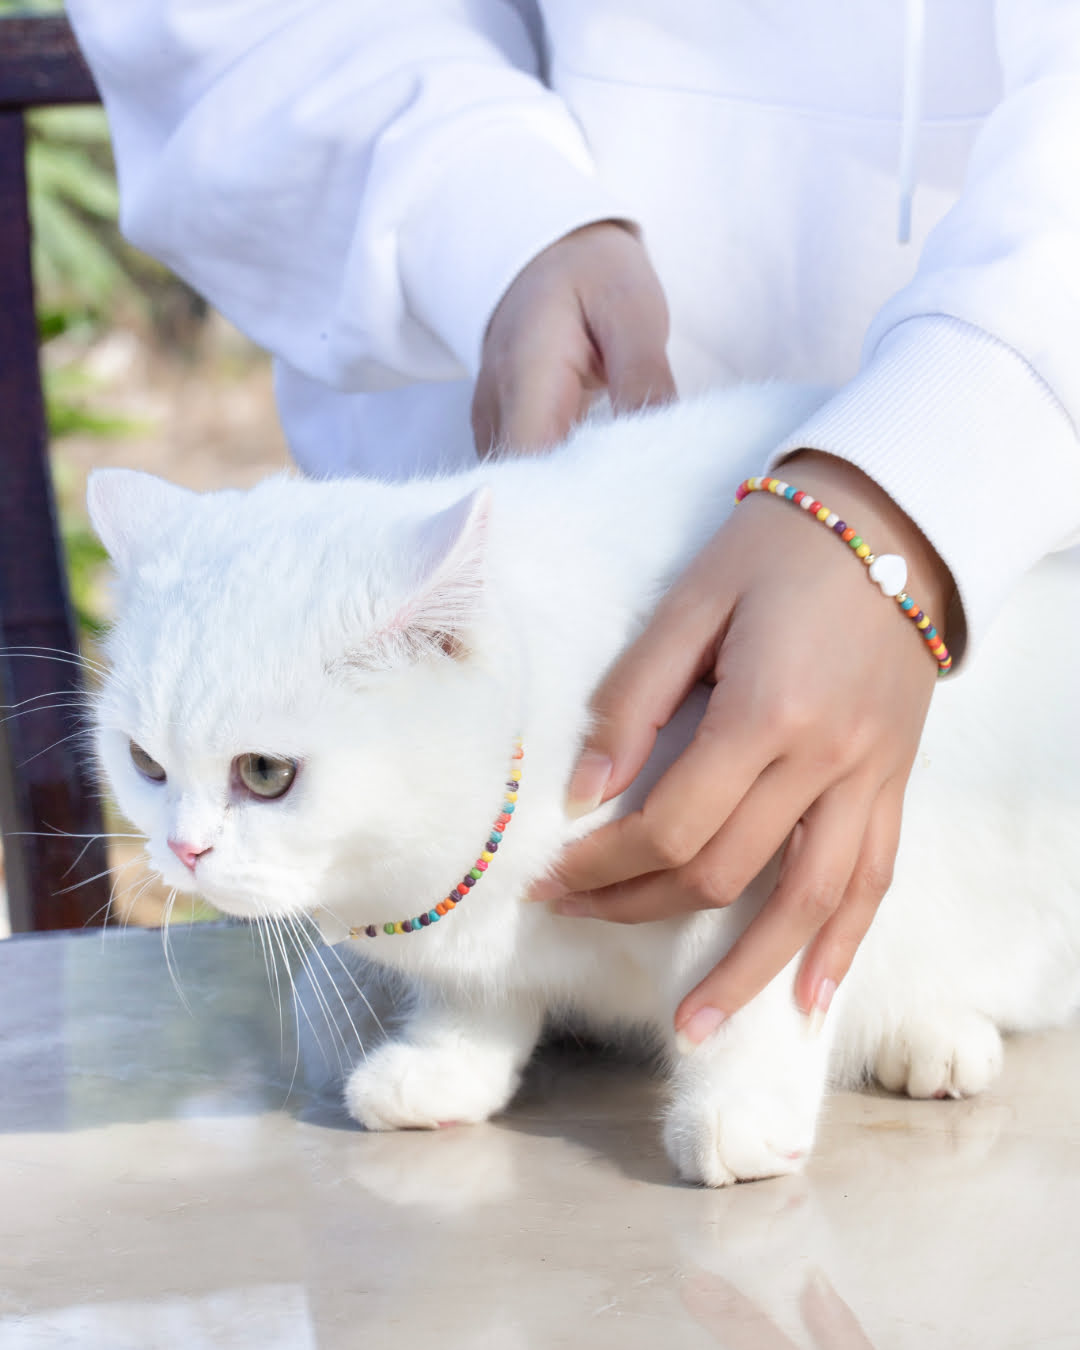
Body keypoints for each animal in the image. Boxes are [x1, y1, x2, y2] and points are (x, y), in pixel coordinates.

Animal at [88, 386, 1080, 1188]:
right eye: (145, 764)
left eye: (265, 774)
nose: (181, 850)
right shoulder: (473, 947)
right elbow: (475, 999)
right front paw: (448, 1066)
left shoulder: (768, 861)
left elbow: (749, 999)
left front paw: (737, 1116)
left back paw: (932, 1036)